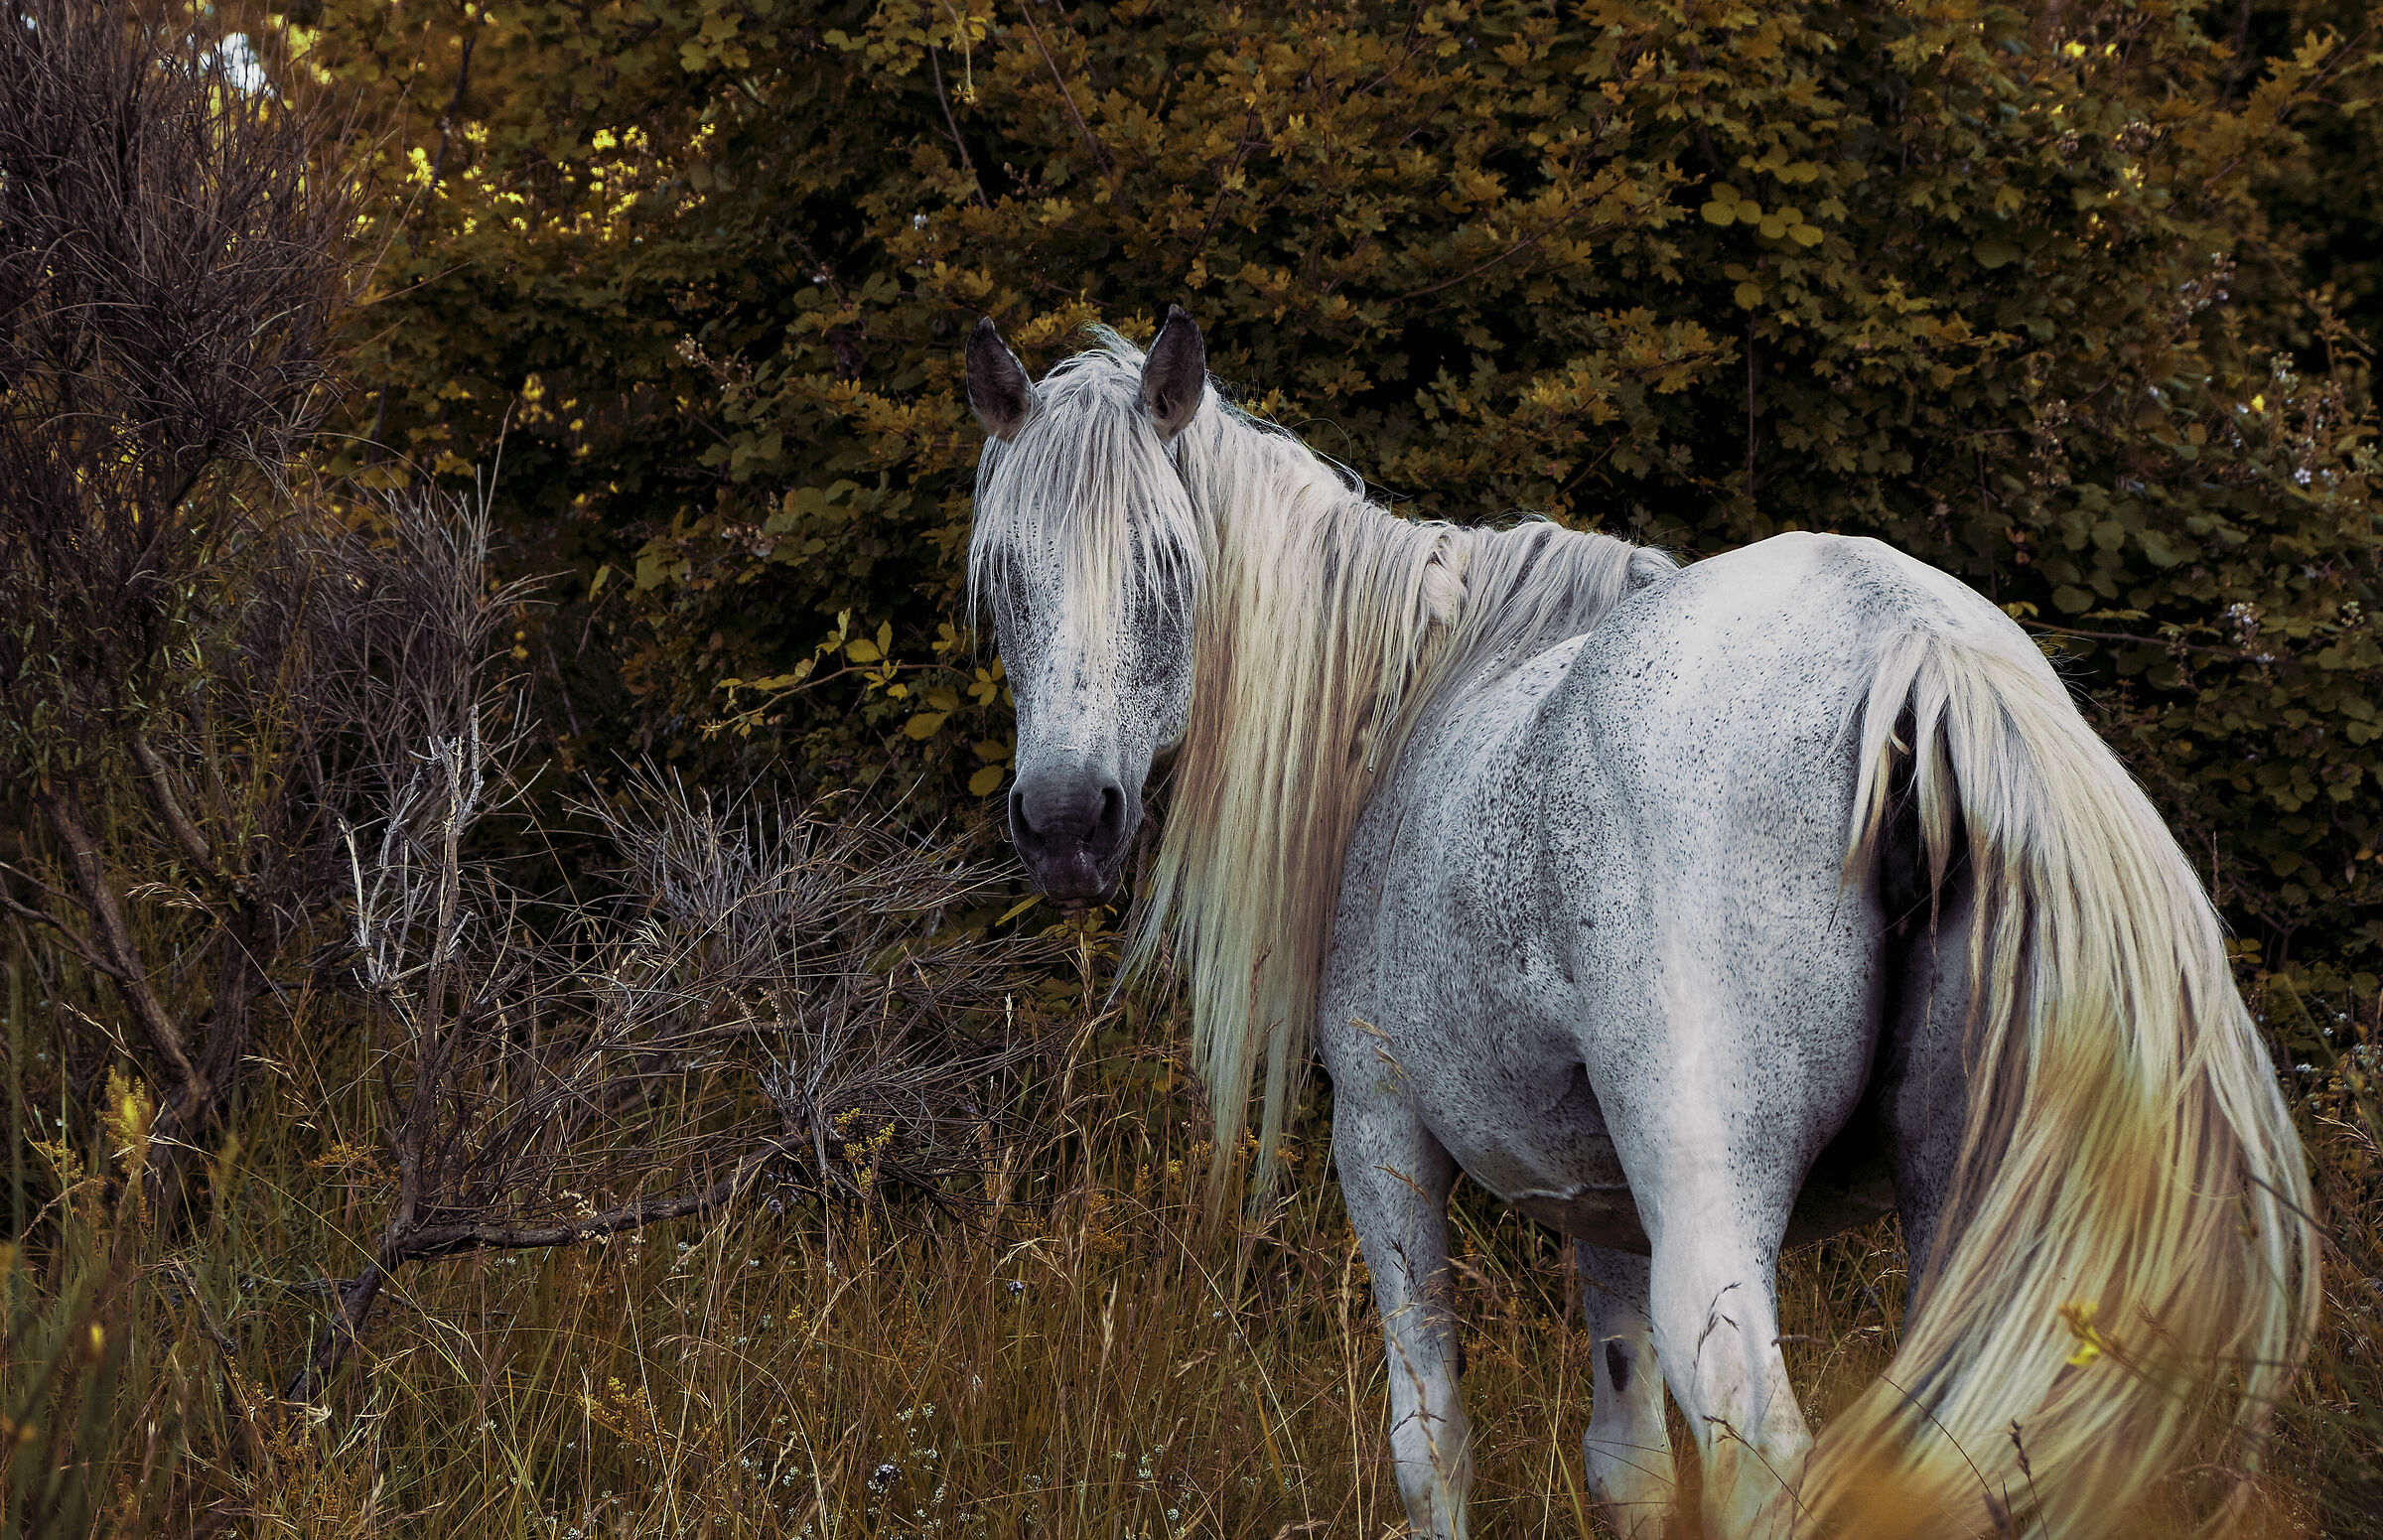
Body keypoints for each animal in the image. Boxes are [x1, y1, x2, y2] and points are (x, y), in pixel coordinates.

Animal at [961, 308, 2315, 1539]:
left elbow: (1431, 1448)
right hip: (1953, 1217)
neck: (1411, 707)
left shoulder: (1384, 1139)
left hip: (1713, 1230)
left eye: (1166, 565)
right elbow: (1629, 1465)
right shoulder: (1604, 1208)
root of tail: (1912, 649)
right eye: (1006, 577)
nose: (1068, 820)